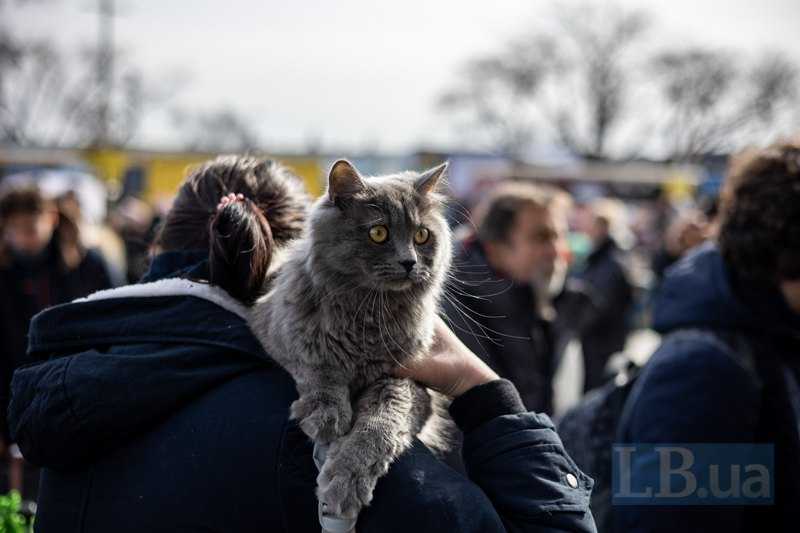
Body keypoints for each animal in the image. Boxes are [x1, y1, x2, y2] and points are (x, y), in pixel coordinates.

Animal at [253, 158, 456, 520]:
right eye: (378, 233)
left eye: (422, 236)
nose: (409, 262)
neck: (367, 315)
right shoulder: (278, 326)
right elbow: (317, 362)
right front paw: (326, 414)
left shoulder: (410, 383)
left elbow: (379, 426)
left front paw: (345, 482)